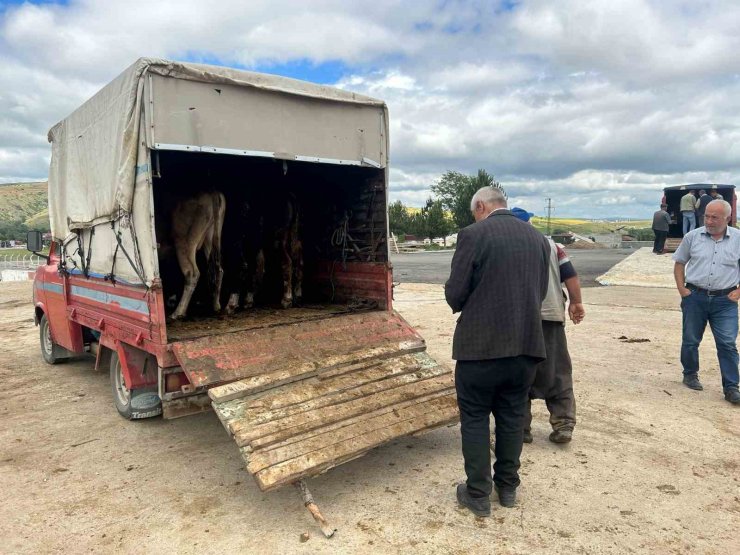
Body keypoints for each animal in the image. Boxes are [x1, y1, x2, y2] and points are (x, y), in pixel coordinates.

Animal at [170, 191, 225, 322]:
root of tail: (212, 190)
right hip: (211, 237)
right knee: (218, 269)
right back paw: (216, 305)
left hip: (184, 241)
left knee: (192, 273)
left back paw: (178, 312)